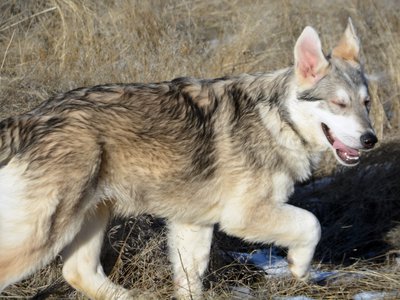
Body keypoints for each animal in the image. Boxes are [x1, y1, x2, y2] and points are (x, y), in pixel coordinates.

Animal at [0, 19, 376, 298]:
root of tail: (26, 119)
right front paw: (299, 265)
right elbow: (311, 224)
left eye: (366, 103)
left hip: (90, 217)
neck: (278, 119)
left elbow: (191, 280)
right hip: (46, 234)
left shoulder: (192, 223)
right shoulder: (242, 216)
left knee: (78, 272)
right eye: (339, 104)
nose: (370, 139)